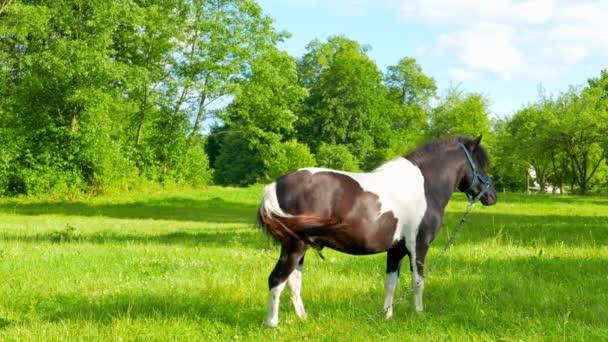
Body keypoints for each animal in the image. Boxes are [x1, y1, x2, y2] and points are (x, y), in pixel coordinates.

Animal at [258, 135, 496, 328]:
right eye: (480, 163)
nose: (492, 195)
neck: (425, 187)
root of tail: (274, 186)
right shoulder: (418, 246)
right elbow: (418, 282)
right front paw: (419, 315)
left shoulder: (396, 250)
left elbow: (391, 283)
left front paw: (386, 316)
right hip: (294, 247)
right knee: (277, 279)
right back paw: (272, 324)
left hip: (301, 248)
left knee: (294, 282)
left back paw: (303, 318)